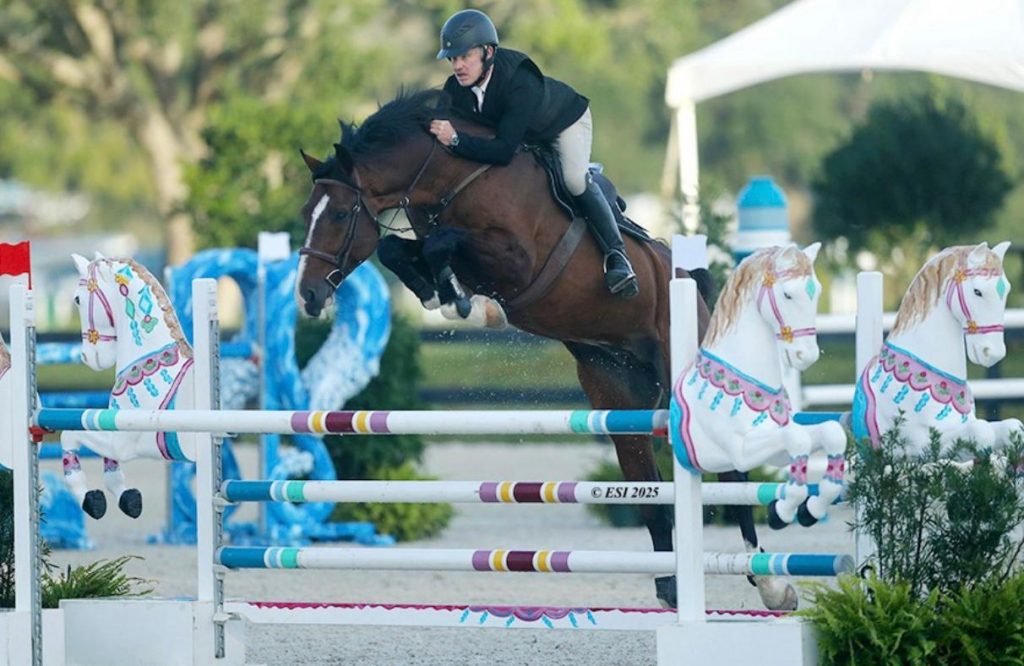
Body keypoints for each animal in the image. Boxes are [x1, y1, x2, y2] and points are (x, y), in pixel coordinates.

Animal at [65, 253, 196, 519]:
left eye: (77, 299)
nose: (87, 357)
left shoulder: (123, 442)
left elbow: (69, 435)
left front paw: (90, 498)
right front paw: (127, 499)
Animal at [291, 88, 789, 609]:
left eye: (341, 214)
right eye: (307, 214)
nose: (308, 295)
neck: (454, 177)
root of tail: (688, 281)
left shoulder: (515, 260)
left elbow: (441, 243)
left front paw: (466, 304)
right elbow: (400, 250)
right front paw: (445, 298)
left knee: (731, 478)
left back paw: (770, 583)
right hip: (618, 399)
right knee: (651, 494)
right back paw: (671, 585)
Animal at [671, 244, 847, 610]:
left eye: (817, 291)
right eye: (788, 294)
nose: (805, 355)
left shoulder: (773, 450)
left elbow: (828, 433)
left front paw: (810, 511)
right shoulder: (741, 451)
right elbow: (797, 441)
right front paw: (781, 512)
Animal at [853, 242, 1023, 455]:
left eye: (1006, 290)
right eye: (977, 291)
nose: (992, 353)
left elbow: (1012, 428)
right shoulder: (915, 445)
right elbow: (982, 432)